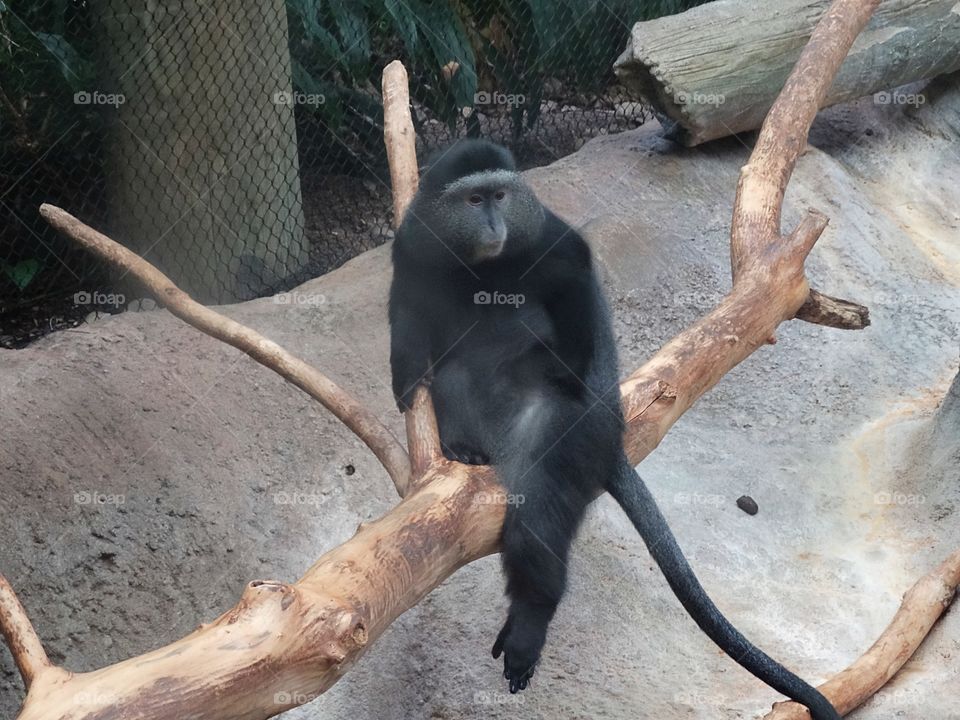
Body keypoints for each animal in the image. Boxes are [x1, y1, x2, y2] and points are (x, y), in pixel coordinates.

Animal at [388, 139, 840, 720]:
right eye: (473, 199)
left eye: (500, 196)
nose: (493, 224)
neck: (481, 264)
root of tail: (611, 439)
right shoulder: (412, 244)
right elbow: (407, 309)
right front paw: (405, 377)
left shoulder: (550, 241)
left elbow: (575, 284)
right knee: (457, 376)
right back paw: (464, 447)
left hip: (570, 431)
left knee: (540, 514)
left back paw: (530, 621)